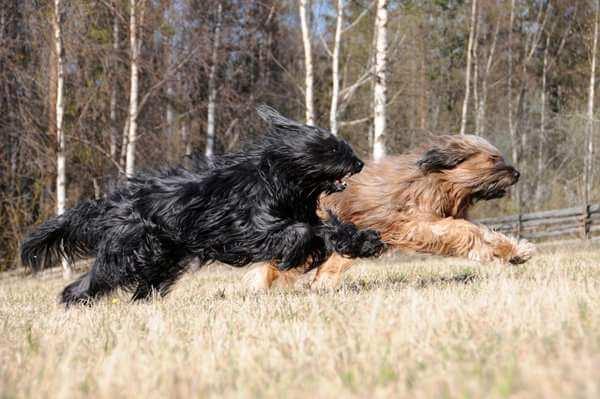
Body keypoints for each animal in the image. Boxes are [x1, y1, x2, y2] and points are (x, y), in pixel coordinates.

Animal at [23, 106, 384, 306]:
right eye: (332, 149)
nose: (359, 162)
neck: (278, 179)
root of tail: (111, 204)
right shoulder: (251, 228)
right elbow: (300, 232)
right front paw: (299, 254)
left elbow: (329, 228)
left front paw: (366, 241)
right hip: (125, 254)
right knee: (95, 279)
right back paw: (71, 301)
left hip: (162, 259)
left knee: (145, 286)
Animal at [244, 134, 536, 290]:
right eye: (493, 160)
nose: (517, 173)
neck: (439, 180)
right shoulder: (415, 223)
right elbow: (465, 230)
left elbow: (485, 233)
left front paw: (515, 252)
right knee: (274, 265)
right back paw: (260, 287)